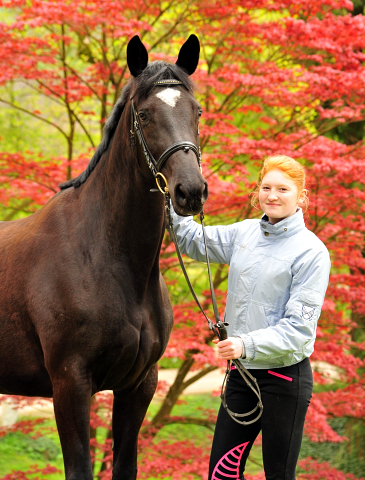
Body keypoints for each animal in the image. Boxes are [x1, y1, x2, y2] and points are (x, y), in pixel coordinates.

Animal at [0, 34, 208, 480]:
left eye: (196, 111)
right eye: (144, 115)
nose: (190, 191)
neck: (103, 257)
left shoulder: (138, 385)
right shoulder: (71, 384)